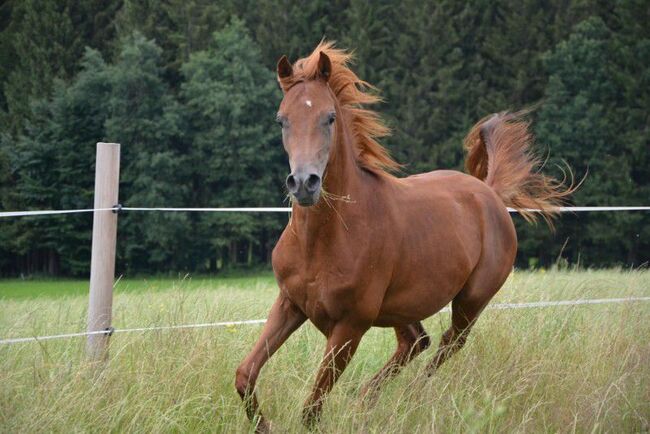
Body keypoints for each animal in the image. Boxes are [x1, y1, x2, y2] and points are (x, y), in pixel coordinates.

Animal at [233, 42, 568, 432]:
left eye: (330, 117)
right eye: (281, 119)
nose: (304, 184)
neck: (324, 240)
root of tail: (489, 193)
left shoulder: (350, 327)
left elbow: (312, 408)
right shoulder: (290, 303)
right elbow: (245, 374)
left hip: (470, 302)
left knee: (447, 344)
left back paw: (411, 398)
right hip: (403, 304)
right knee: (416, 341)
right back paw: (368, 401)